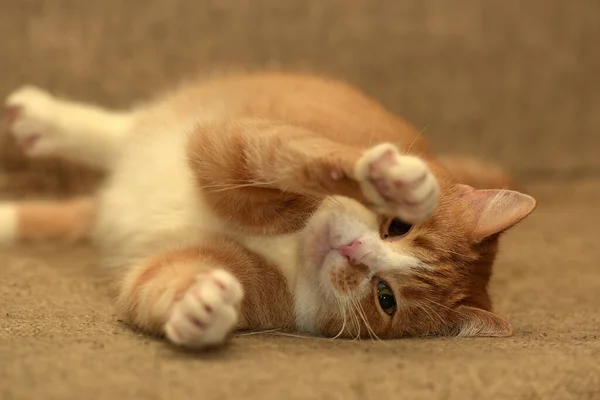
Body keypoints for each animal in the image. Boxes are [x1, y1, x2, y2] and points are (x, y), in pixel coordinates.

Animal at [0, 73, 536, 348]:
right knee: (117, 131)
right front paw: (389, 179)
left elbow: (163, 283)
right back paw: (45, 120)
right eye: (397, 227)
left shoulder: (195, 264)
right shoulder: (234, 142)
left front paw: (201, 309)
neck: (289, 244)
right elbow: (302, 157)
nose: (355, 251)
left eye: (386, 298)